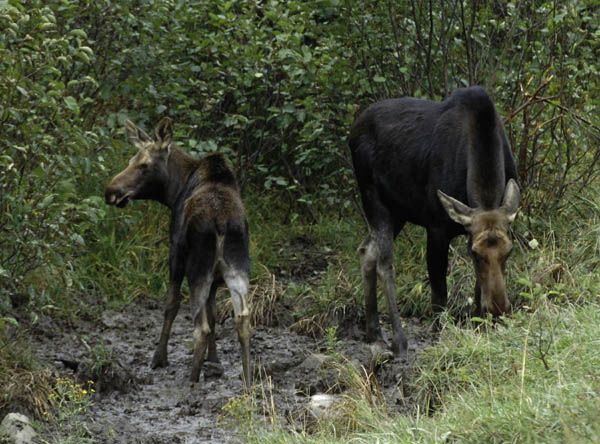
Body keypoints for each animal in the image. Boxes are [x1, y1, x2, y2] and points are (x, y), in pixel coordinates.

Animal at [105, 119, 251, 386]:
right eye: (131, 160)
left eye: (144, 164)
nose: (111, 191)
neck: (174, 192)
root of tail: (223, 222)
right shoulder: (216, 277)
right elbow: (213, 313)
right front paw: (214, 362)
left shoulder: (175, 254)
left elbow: (171, 304)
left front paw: (158, 358)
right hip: (237, 267)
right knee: (242, 317)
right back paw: (248, 379)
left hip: (197, 267)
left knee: (199, 327)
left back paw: (191, 380)